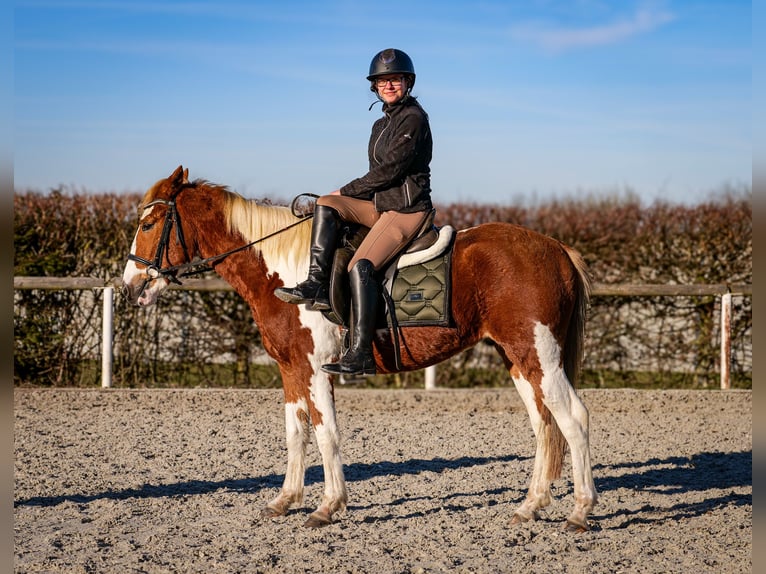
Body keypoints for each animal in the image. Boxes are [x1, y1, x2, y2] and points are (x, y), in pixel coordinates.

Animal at [121, 165, 600, 532]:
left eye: (148, 225)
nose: (131, 288)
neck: (288, 273)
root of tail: (556, 248)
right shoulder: (291, 370)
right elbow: (296, 433)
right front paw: (285, 500)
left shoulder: (317, 369)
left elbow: (326, 434)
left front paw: (327, 507)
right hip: (519, 359)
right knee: (544, 425)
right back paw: (531, 506)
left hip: (540, 355)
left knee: (573, 418)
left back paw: (580, 511)